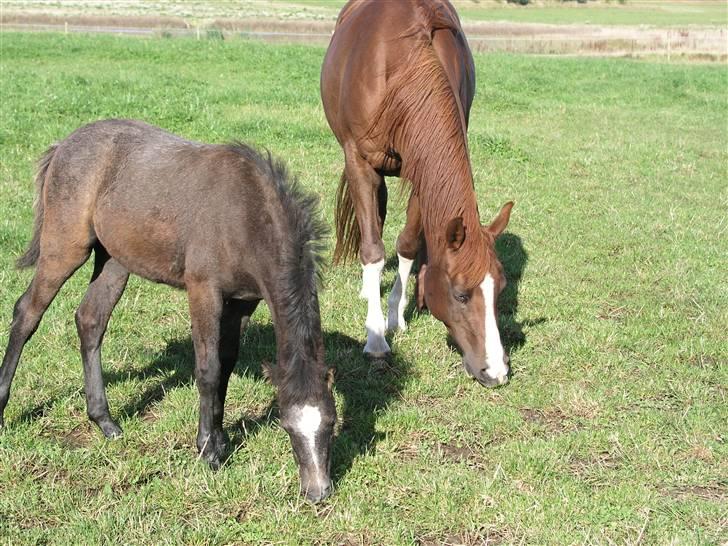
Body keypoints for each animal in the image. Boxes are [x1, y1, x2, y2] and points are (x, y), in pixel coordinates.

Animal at [0, 120, 336, 502]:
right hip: (66, 247)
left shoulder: (242, 302)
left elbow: (226, 364)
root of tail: (63, 145)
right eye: (287, 426)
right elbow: (208, 369)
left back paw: (105, 422)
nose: (318, 491)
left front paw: (220, 439)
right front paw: (207, 451)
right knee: (27, 313)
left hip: (115, 260)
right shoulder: (203, 290)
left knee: (90, 320)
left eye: (331, 423)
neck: (245, 213)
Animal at [322, 0, 516, 384]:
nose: (496, 370)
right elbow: (373, 250)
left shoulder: (421, 170)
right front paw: (376, 339)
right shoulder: (360, 162)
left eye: (500, 289)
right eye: (461, 295)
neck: (403, 65)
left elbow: (408, 243)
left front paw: (396, 316)